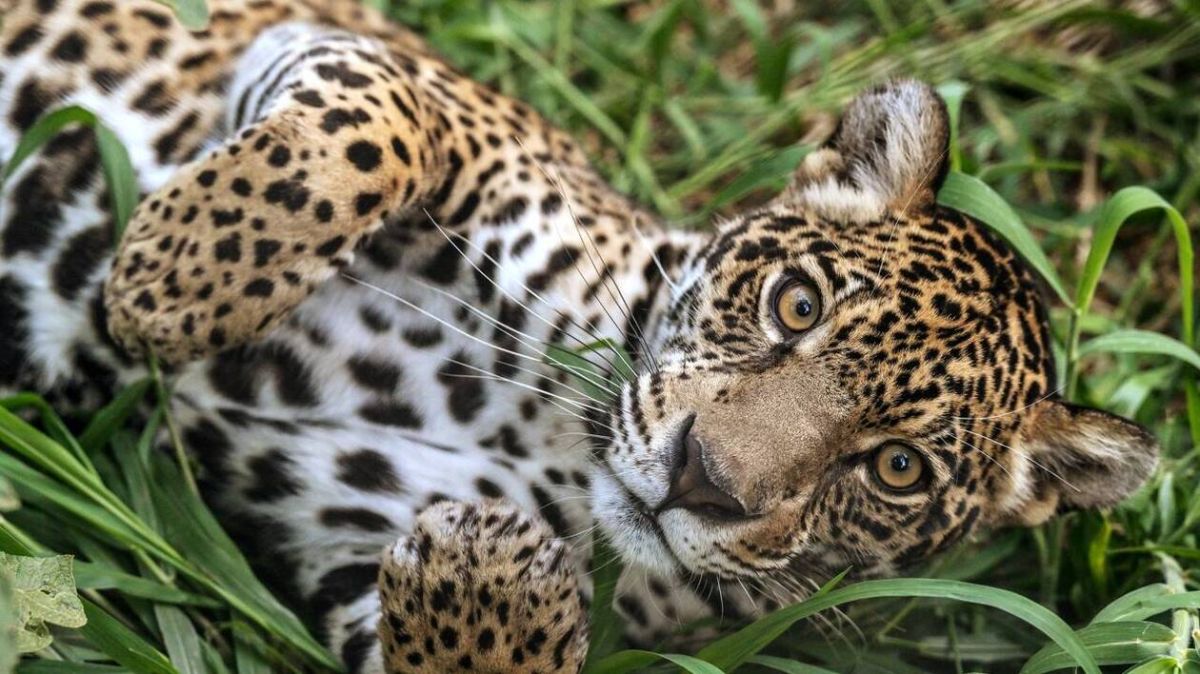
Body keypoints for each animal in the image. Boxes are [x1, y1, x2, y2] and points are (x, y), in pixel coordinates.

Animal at [0, 1, 1160, 672]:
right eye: (797, 305)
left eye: (898, 469)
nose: (702, 479)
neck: (555, 432)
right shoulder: (357, 57)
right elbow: (372, 130)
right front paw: (171, 281)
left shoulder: (339, 539)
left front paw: (485, 570)